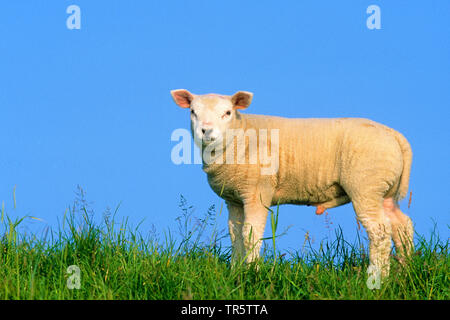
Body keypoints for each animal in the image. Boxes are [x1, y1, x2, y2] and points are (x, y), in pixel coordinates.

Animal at [171, 88, 414, 280]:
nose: (206, 131)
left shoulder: (257, 191)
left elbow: (251, 233)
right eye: (193, 112)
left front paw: (252, 273)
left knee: (380, 231)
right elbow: (236, 235)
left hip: (366, 184)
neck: (240, 135)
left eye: (227, 113)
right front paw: (235, 272)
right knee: (401, 225)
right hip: (384, 191)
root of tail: (393, 135)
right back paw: (406, 270)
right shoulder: (234, 198)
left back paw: (377, 277)